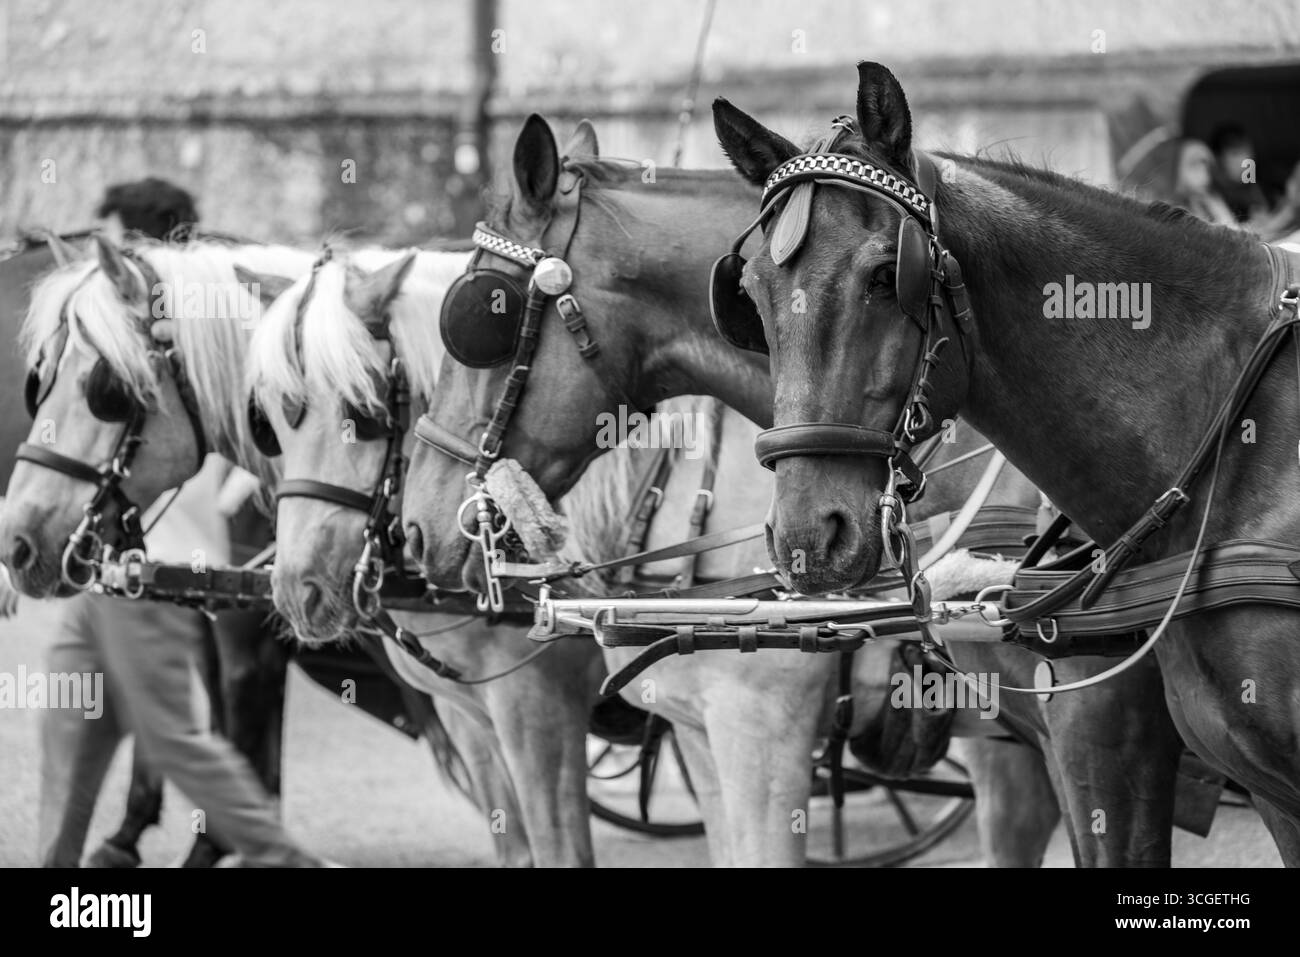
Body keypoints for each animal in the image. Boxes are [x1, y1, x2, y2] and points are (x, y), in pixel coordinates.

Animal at [245, 247, 603, 866]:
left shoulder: (539, 712)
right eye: (265, 421)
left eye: (364, 409)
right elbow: (516, 850)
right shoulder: (471, 720)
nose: (296, 591)